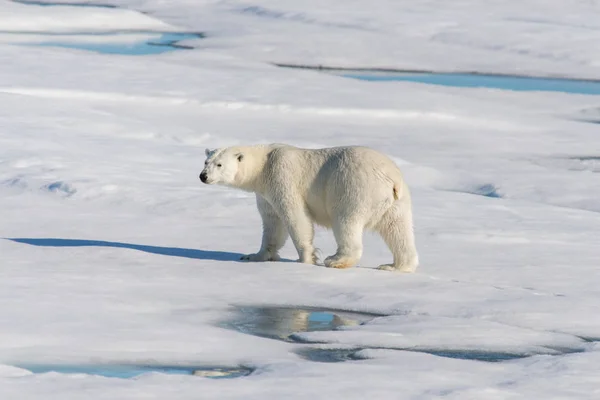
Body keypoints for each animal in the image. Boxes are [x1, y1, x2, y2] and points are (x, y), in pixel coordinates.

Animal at [199, 144, 420, 272]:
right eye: (206, 161)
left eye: (219, 165)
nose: (203, 176)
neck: (263, 164)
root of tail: (392, 179)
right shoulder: (264, 192)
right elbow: (272, 222)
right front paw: (254, 256)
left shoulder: (281, 175)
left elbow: (295, 216)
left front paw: (305, 260)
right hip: (397, 202)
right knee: (398, 229)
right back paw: (394, 266)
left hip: (353, 187)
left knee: (346, 221)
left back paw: (336, 260)